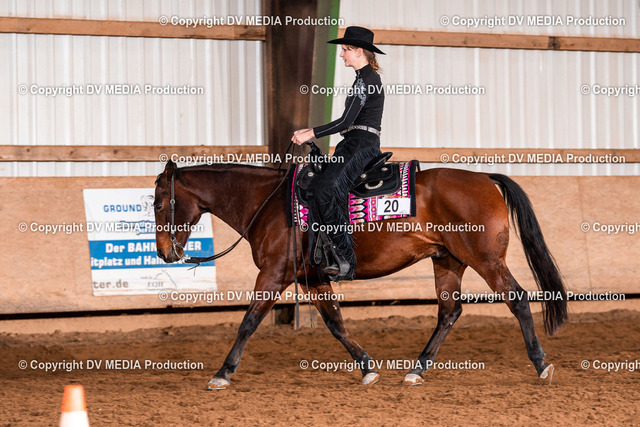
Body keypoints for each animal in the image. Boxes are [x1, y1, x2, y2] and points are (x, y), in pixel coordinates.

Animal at [154, 159, 567, 389]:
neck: (268, 204)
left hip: (486, 260)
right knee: (449, 313)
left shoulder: (273, 275)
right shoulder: (313, 279)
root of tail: (484, 178)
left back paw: (541, 364)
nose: (163, 252)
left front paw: (223, 373)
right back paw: (416, 371)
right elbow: (336, 324)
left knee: (518, 299)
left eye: (158, 203)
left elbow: (248, 323)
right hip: (448, 261)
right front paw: (367, 368)